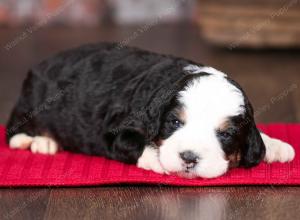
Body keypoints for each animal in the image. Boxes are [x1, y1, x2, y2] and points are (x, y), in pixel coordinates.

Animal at [5, 42, 296, 179]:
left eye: (225, 134)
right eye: (174, 123)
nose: (189, 158)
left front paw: (275, 146)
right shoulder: (115, 130)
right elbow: (134, 143)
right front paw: (157, 158)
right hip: (31, 99)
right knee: (13, 128)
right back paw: (39, 141)